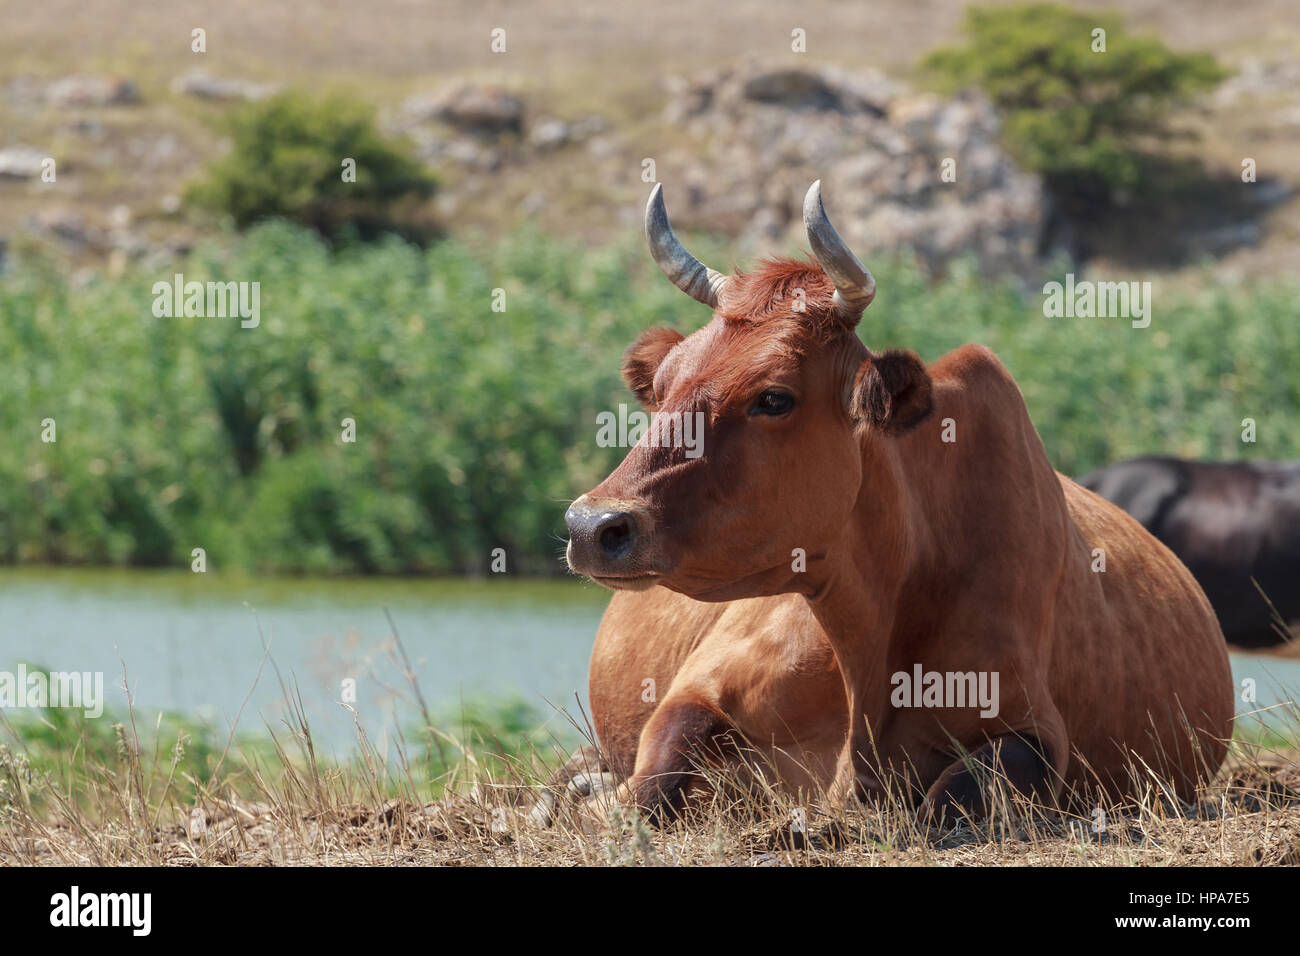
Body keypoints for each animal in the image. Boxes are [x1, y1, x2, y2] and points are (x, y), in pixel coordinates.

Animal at [563, 182, 1234, 825]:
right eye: (662, 388)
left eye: (774, 397)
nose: (593, 525)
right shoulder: (697, 685)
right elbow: (652, 778)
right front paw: (598, 799)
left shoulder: (1034, 727)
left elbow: (952, 797)